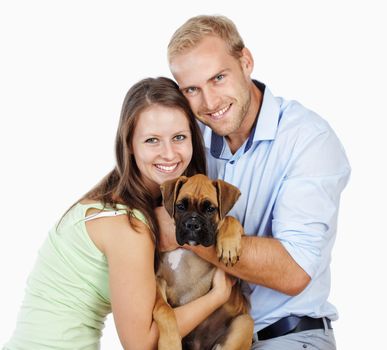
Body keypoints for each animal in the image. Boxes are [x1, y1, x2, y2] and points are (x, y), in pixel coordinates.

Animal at [153, 175, 256, 350]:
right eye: (180, 206)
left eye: (210, 209)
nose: (192, 224)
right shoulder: (158, 281)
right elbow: (163, 309)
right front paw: (170, 343)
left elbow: (229, 218)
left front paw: (228, 244)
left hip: (244, 322)